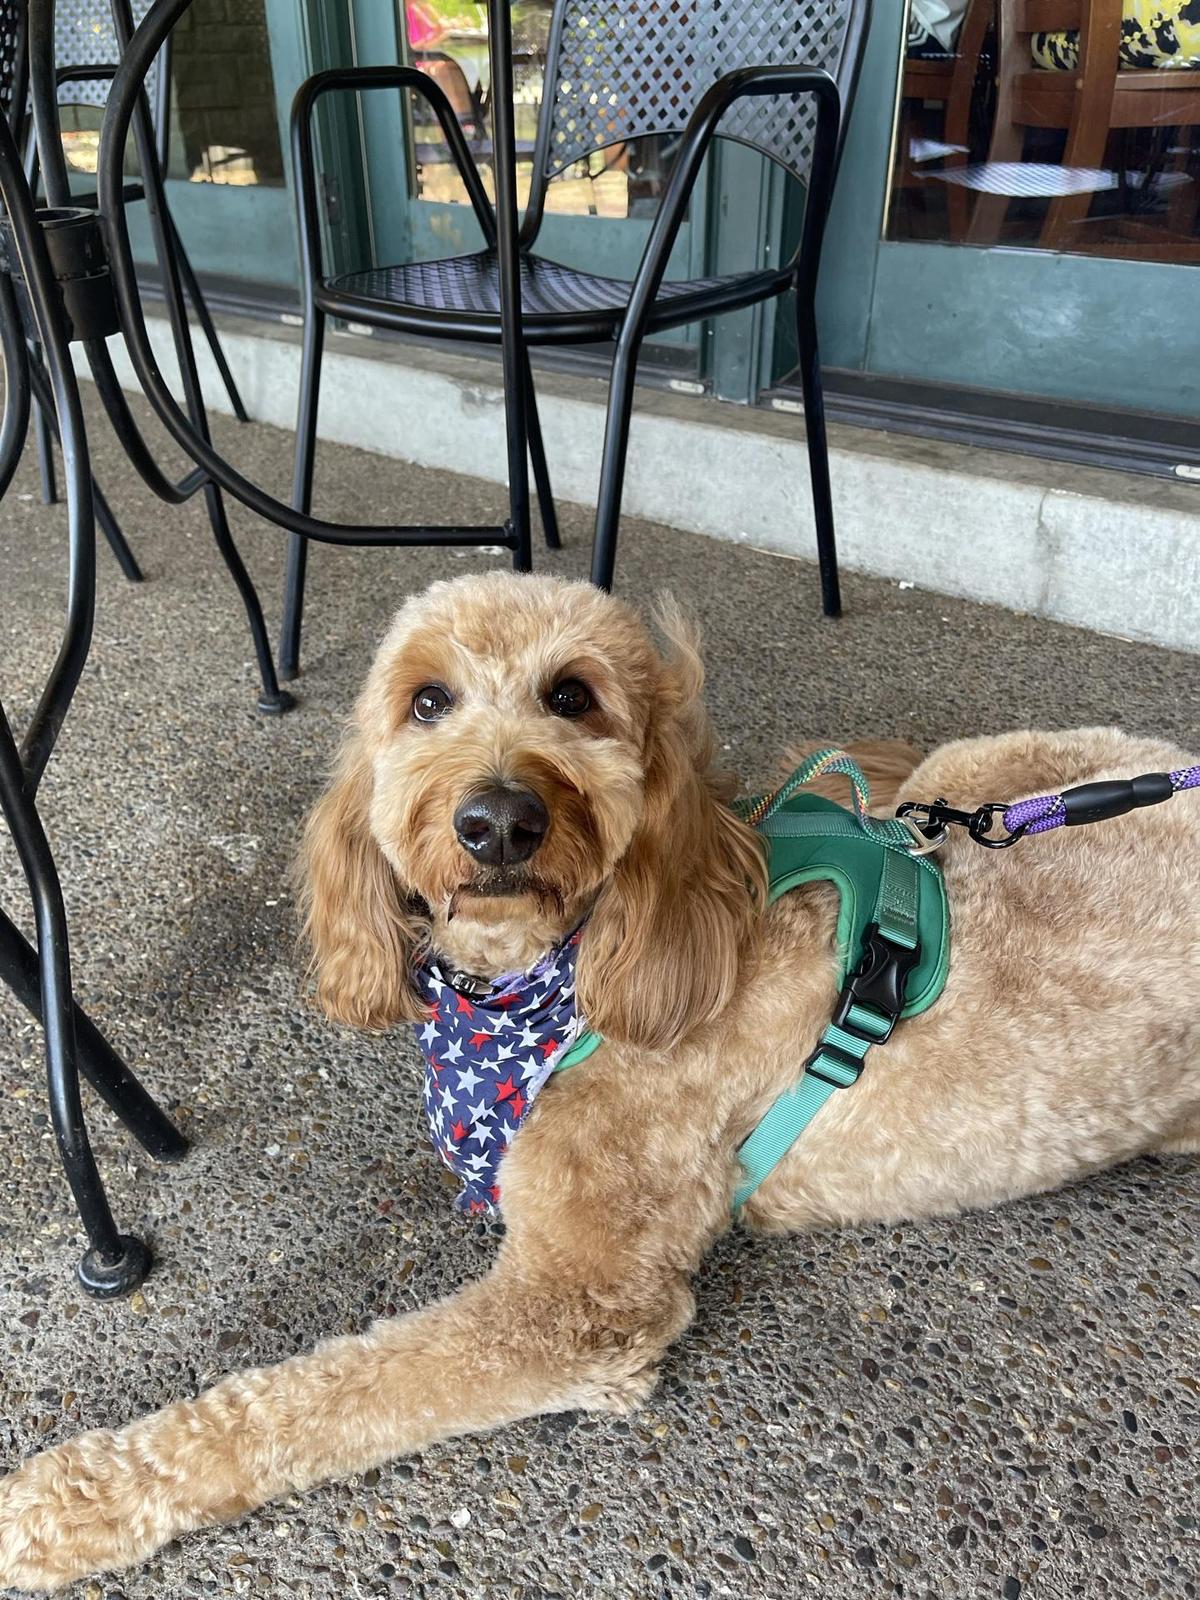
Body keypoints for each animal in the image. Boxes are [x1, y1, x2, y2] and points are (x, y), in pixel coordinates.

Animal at [2, 572, 1200, 1587]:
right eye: (427, 700)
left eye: (573, 697)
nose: (498, 819)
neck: (562, 971)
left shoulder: (581, 1304)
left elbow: (306, 1396)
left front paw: (60, 1504)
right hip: (986, 778)